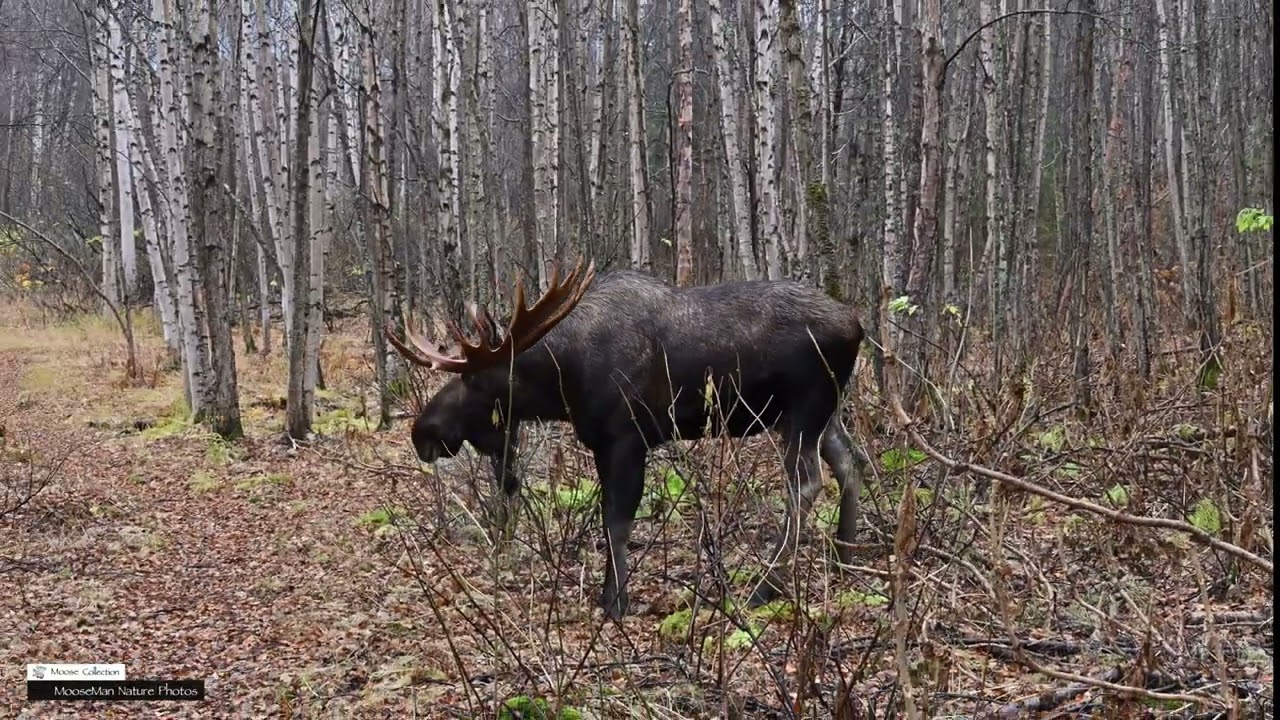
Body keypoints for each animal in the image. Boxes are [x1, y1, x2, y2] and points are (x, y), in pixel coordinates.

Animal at [385, 259, 869, 620]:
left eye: (473, 382)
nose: (422, 432)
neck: (563, 382)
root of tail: (857, 325)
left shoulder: (627, 439)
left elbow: (616, 521)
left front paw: (616, 602)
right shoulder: (602, 443)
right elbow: (609, 519)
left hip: (804, 409)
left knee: (805, 484)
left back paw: (767, 587)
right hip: (822, 412)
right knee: (851, 462)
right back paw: (846, 553)